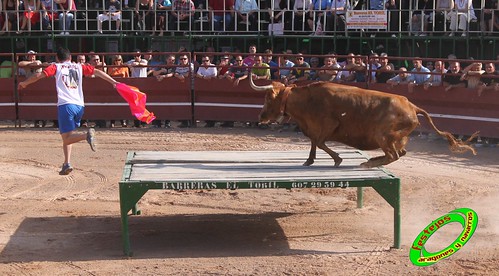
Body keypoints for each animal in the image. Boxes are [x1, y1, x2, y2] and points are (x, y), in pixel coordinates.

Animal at [252, 77, 478, 168]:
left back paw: (370, 162)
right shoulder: (313, 128)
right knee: (400, 153)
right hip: (397, 139)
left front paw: (337, 159)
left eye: (268, 98)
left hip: (383, 136)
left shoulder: (327, 125)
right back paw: (373, 159)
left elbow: (320, 142)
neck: (307, 99)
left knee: (394, 155)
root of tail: (412, 106)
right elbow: (314, 143)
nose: (261, 116)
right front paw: (309, 160)